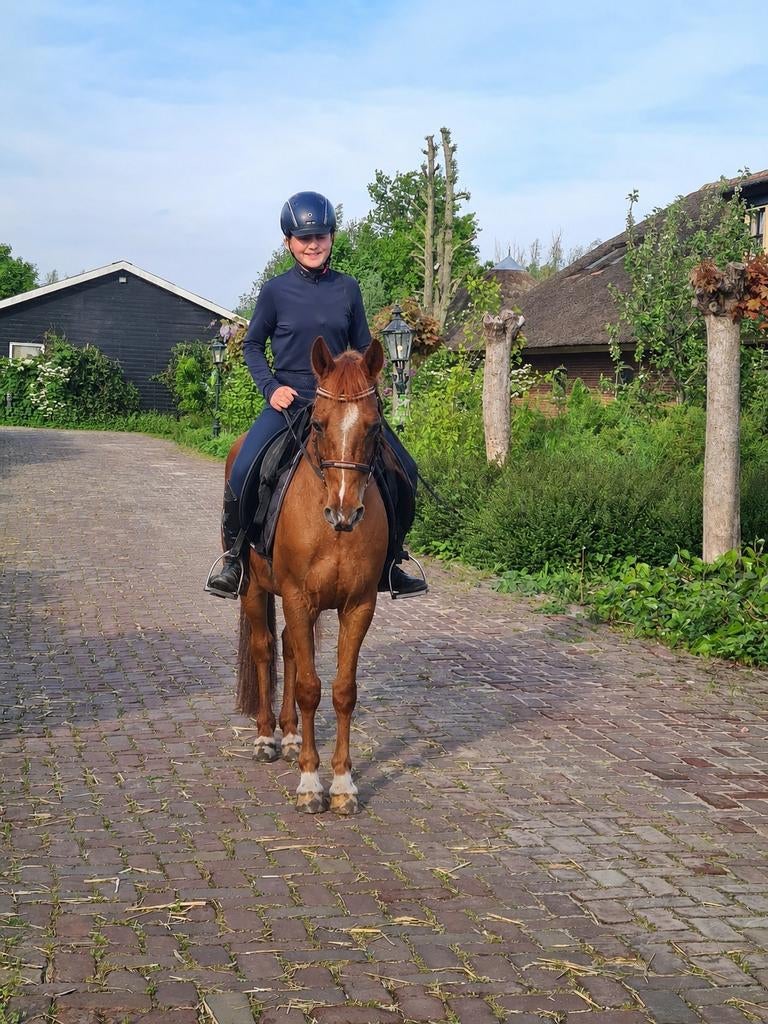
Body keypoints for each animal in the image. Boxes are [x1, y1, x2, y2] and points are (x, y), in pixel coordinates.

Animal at [227, 335, 389, 814]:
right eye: (317, 425)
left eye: (374, 427)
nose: (344, 512)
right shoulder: (298, 597)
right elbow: (309, 689)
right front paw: (311, 784)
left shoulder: (358, 605)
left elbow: (341, 690)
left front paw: (343, 784)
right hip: (254, 589)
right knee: (264, 649)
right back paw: (266, 737)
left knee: (288, 648)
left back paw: (291, 735)